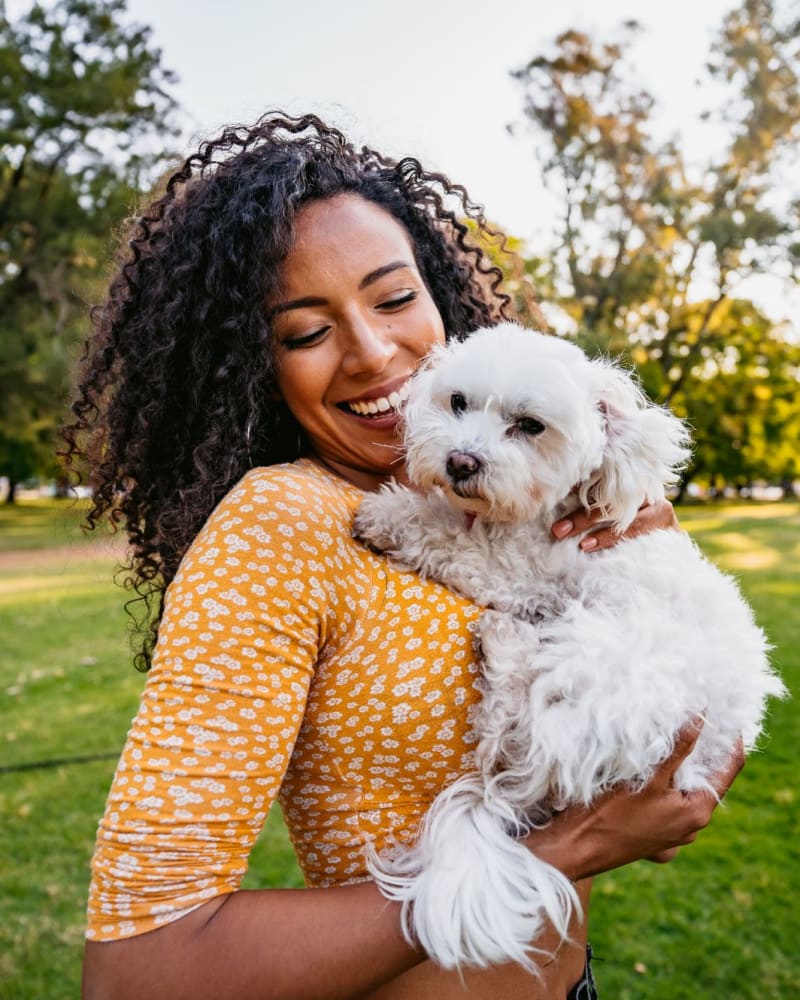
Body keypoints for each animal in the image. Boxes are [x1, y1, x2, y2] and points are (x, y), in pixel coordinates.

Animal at [356, 324, 788, 972]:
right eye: (457, 402)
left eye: (530, 426)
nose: (461, 462)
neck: (542, 515)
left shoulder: (521, 570)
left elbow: (453, 541)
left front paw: (390, 514)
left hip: (602, 663)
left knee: (511, 730)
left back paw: (506, 645)